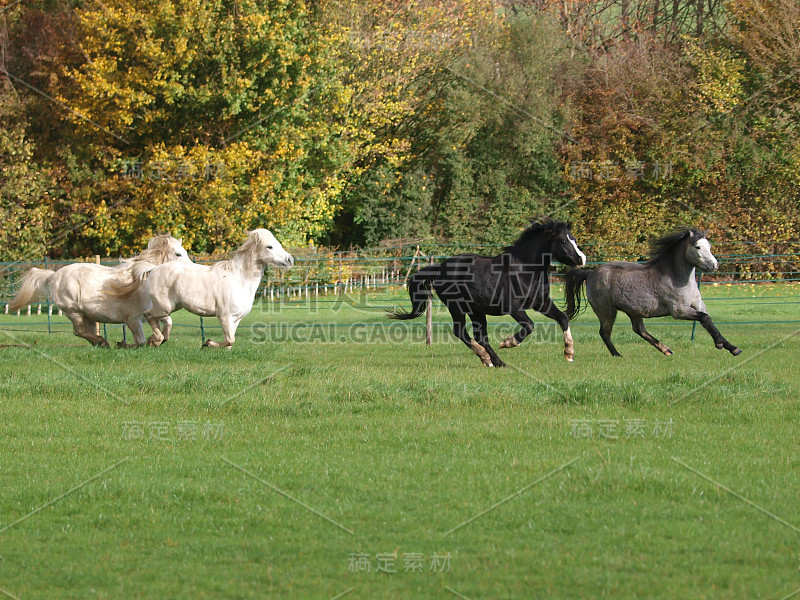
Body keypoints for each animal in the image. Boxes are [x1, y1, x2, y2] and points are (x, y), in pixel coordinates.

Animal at [8, 234, 190, 346]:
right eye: (178, 254)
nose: (191, 269)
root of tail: (54, 275)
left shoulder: (154, 312)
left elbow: (168, 323)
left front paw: (159, 339)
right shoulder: (133, 319)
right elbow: (140, 341)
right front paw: (130, 343)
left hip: (87, 315)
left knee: (83, 331)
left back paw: (99, 342)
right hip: (73, 312)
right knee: (78, 331)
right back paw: (102, 342)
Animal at [106, 231, 292, 352]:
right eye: (270, 246)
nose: (290, 259)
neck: (239, 279)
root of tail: (154, 268)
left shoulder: (236, 319)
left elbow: (230, 342)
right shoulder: (224, 316)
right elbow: (229, 339)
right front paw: (207, 343)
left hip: (171, 307)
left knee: (163, 321)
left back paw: (152, 340)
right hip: (164, 306)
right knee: (149, 315)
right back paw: (154, 340)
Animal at [390, 219, 588, 366]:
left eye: (574, 239)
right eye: (563, 241)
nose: (582, 259)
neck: (525, 269)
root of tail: (440, 268)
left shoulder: (542, 303)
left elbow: (563, 318)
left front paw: (569, 352)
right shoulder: (514, 307)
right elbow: (530, 325)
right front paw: (508, 343)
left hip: (476, 310)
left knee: (480, 336)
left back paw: (494, 361)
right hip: (457, 307)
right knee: (461, 331)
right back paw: (488, 358)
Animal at [564, 226, 744, 356]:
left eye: (709, 246)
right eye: (698, 246)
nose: (714, 265)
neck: (676, 277)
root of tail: (590, 273)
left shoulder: (698, 304)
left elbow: (709, 321)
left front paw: (731, 347)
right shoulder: (678, 311)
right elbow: (705, 319)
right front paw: (721, 344)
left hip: (634, 311)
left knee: (639, 330)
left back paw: (666, 350)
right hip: (607, 311)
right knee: (605, 333)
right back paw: (617, 355)